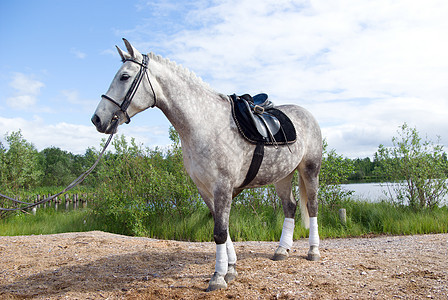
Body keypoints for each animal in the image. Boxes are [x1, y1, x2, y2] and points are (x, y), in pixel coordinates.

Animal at [91, 38, 322, 292]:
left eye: (124, 76)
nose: (98, 120)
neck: (205, 123)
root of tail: (307, 114)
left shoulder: (222, 187)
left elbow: (220, 232)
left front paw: (218, 277)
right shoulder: (204, 188)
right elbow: (223, 228)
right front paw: (230, 270)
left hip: (310, 170)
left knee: (312, 206)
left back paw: (313, 251)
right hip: (282, 175)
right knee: (290, 207)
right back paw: (282, 250)